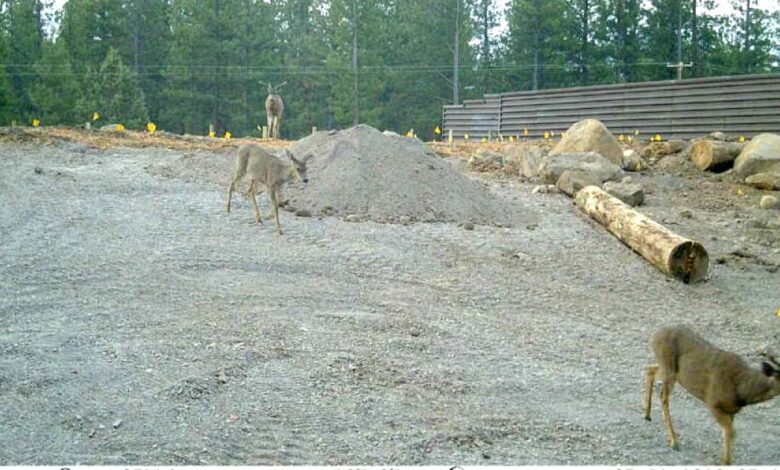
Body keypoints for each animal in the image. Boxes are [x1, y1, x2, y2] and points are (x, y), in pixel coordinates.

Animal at [643, 325, 780, 465]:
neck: (741, 390)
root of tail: (654, 336)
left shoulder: (731, 411)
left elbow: (727, 433)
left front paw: (725, 458)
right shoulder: (713, 402)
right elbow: (731, 432)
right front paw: (725, 461)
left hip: (669, 371)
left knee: (650, 370)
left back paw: (647, 414)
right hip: (669, 369)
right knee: (663, 397)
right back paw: (674, 441)